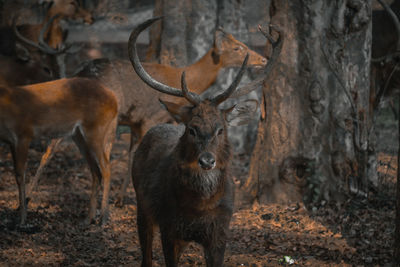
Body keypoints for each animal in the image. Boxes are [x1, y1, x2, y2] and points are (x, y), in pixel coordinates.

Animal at [0, 77, 118, 226]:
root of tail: (115, 99)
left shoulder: (23, 135)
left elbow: (21, 176)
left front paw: (22, 220)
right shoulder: (11, 142)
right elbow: (17, 175)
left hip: (96, 130)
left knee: (106, 168)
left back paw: (103, 218)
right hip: (79, 135)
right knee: (96, 171)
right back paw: (88, 218)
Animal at [128, 17, 282, 266]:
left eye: (221, 129)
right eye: (192, 129)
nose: (207, 161)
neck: (199, 207)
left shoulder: (219, 232)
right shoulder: (168, 227)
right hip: (142, 206)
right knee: (146, 256)